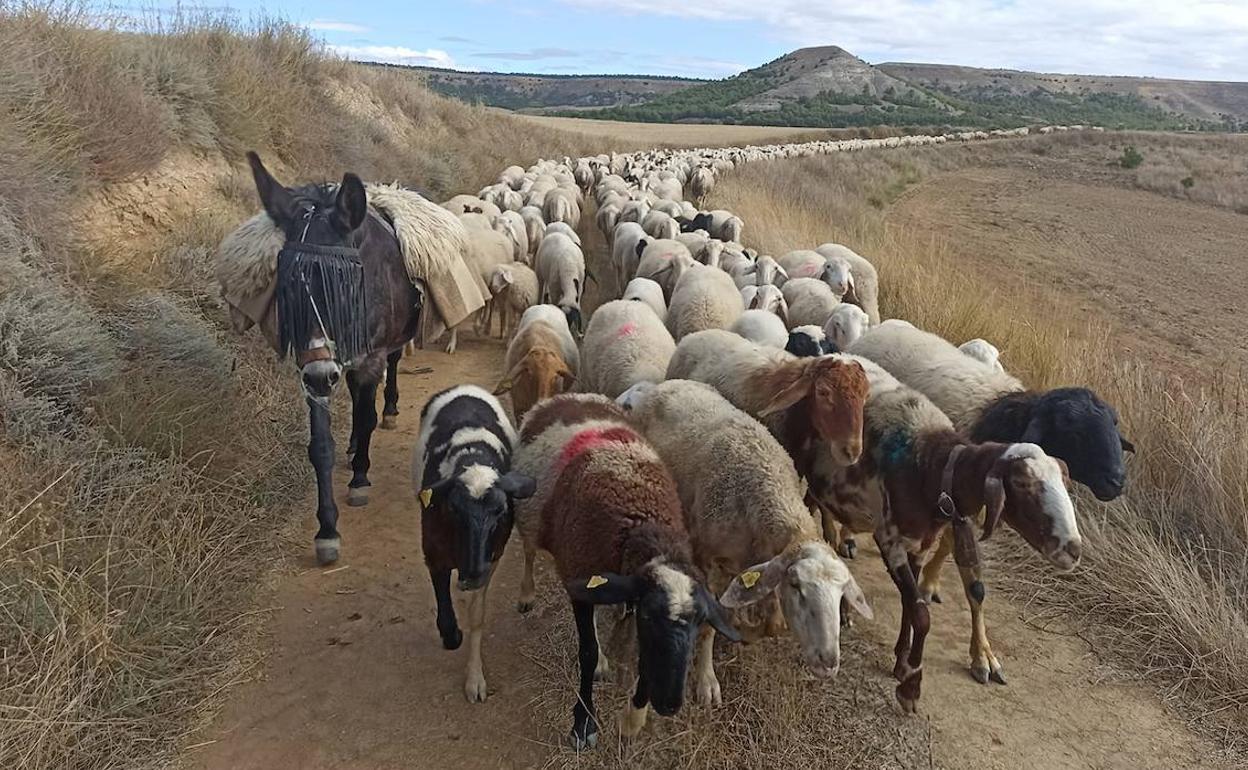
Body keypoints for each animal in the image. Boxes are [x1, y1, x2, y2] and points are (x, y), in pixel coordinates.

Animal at [414, 384, 536, 703]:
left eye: (501, 511)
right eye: (454, 510)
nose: (470, 575)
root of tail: (463, 388)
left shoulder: (491, 558)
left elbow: (477, 616)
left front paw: (475, 679)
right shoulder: (434, 553)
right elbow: (444, 601)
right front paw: (451, 634)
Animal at [511, 394, 733, 748]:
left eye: (700, 622)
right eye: (649, 615)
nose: (669, 705)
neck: (640, 523)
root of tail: (570, 397)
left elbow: (640, 657)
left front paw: (632, 719)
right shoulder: (581, 582)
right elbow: (587, 652)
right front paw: (583, 723)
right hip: (530, 518)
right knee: (530, 553)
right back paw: (527, 595)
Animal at [628, 379, 873, 703]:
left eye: (842, 593)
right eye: (796, 586)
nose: (828, 662)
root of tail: (670, 382)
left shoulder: (761, 561)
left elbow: (771, 623)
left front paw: (744, 629)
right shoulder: (706, 557)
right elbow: (711, 624)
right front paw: (707, 681)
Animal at [808, 356, 1083, 703]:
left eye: (1066, 482)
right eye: (1021, 483)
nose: (1073, 549)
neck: (929, 462)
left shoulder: (921, 542)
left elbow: (914, 604)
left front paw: (902, 660)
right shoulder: (890, 540)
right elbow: (922, 614)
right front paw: (911, 685)